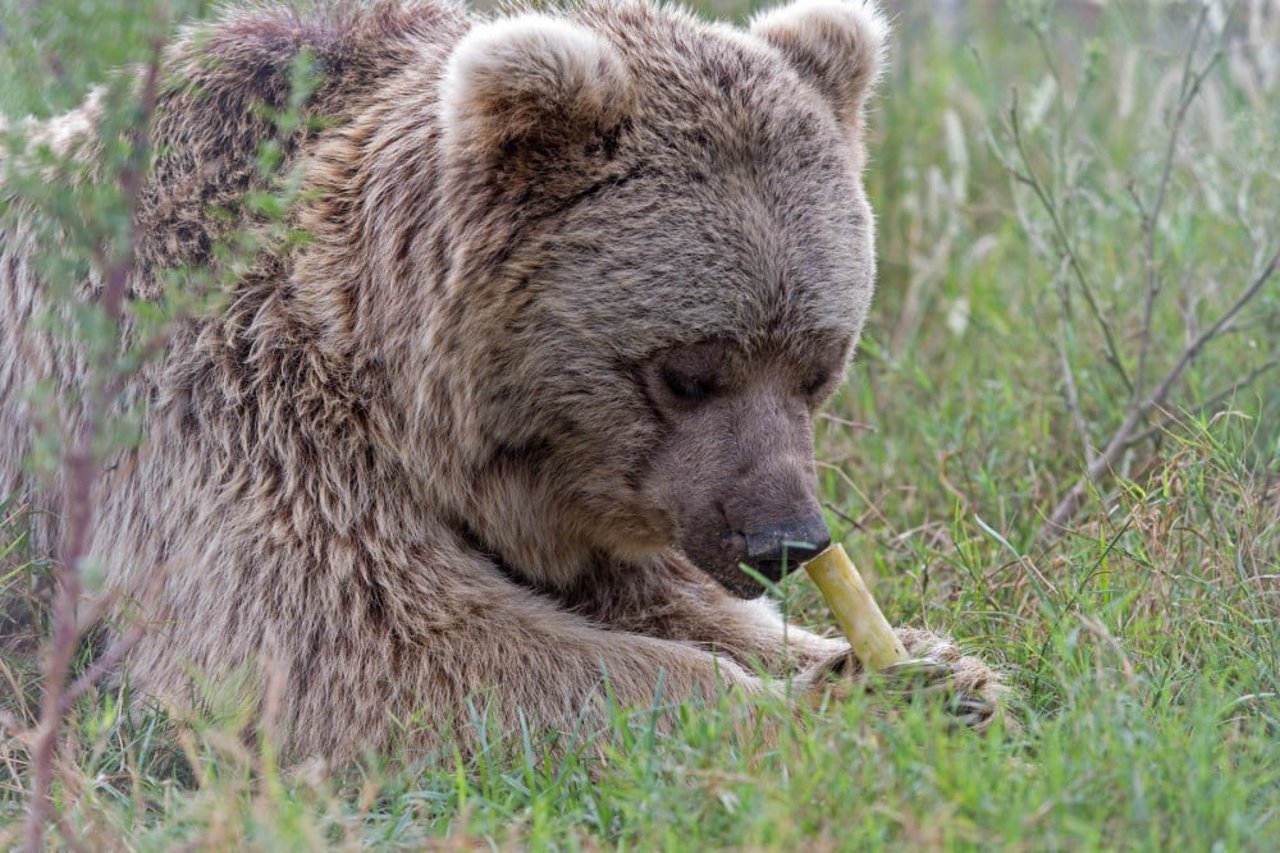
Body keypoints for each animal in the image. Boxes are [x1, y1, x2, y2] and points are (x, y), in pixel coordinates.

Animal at [0, 0, 998, 758]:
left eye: (819, 367)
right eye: (687, 372)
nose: (784, 538)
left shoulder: (591, 499)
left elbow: (675, 599)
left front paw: (929, 663)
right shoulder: (226, 410)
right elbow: (367, 648)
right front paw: (851, 698)